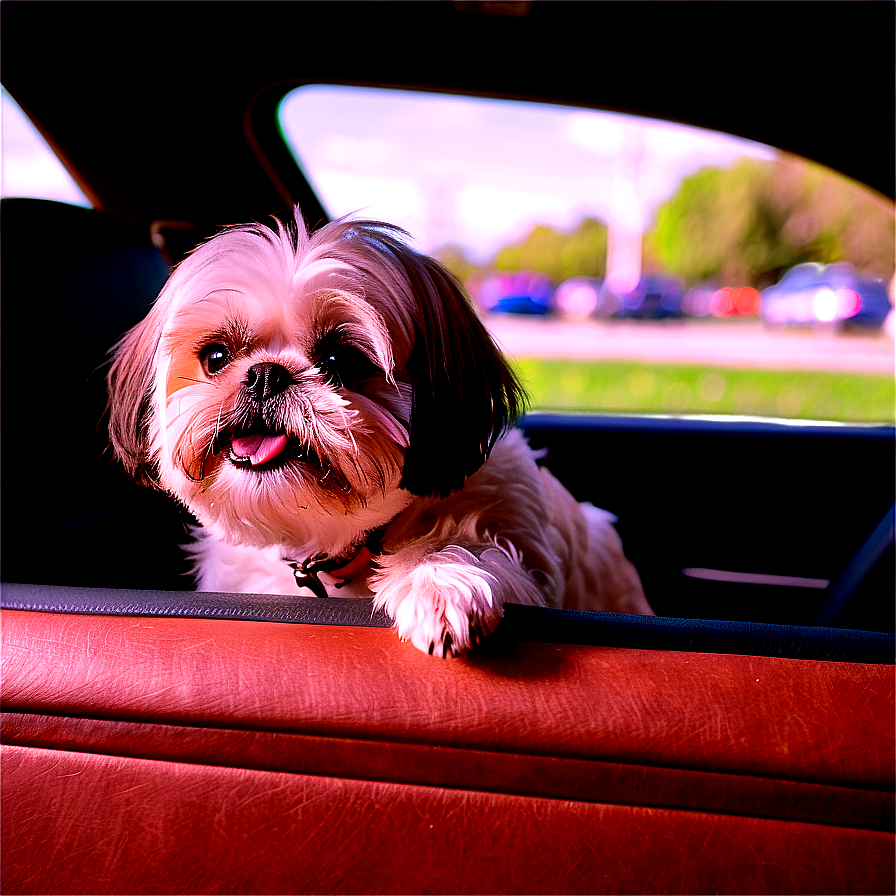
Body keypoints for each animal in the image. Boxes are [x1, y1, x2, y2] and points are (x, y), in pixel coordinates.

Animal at [108, 210, 652, 656]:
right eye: (216, 356)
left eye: (341, 360)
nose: (265, 375)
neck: (339, 548)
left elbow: (462, 543)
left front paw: (437, 579)